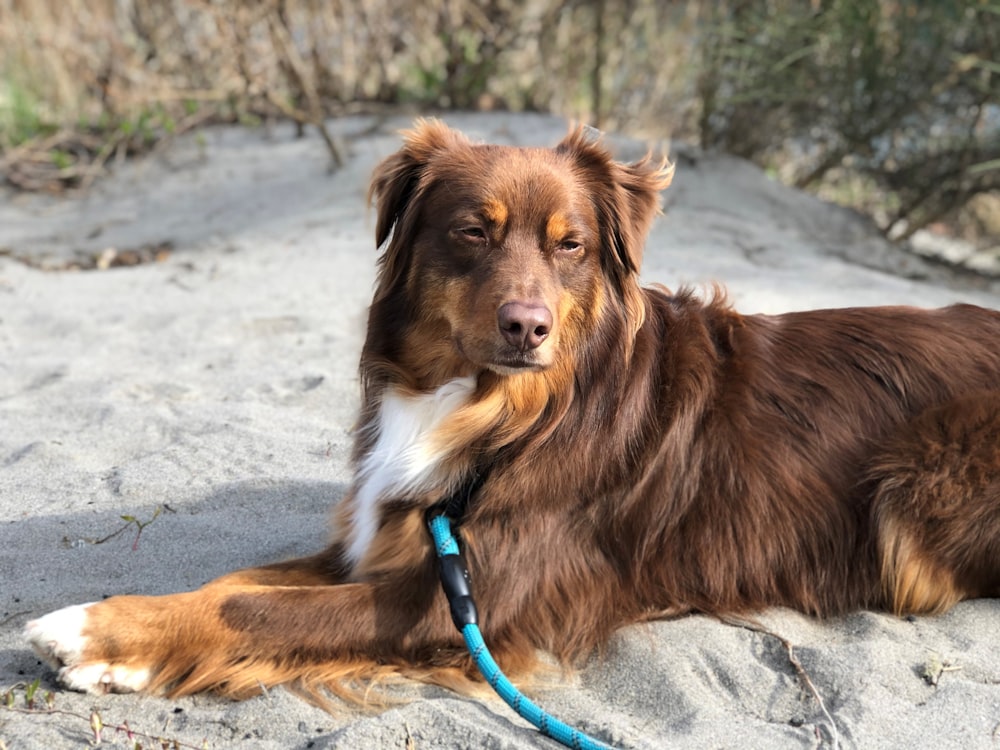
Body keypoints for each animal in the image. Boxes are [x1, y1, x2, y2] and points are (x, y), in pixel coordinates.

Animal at [23, 120, 1000, 704]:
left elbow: (256, 613)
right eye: (472, 231)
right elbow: (234, 584)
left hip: (921, 484)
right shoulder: (386, 537)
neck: (496, 404)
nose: (527, 326)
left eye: (571, 245)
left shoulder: (464, 596)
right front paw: (125, 618)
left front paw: (99, 632)